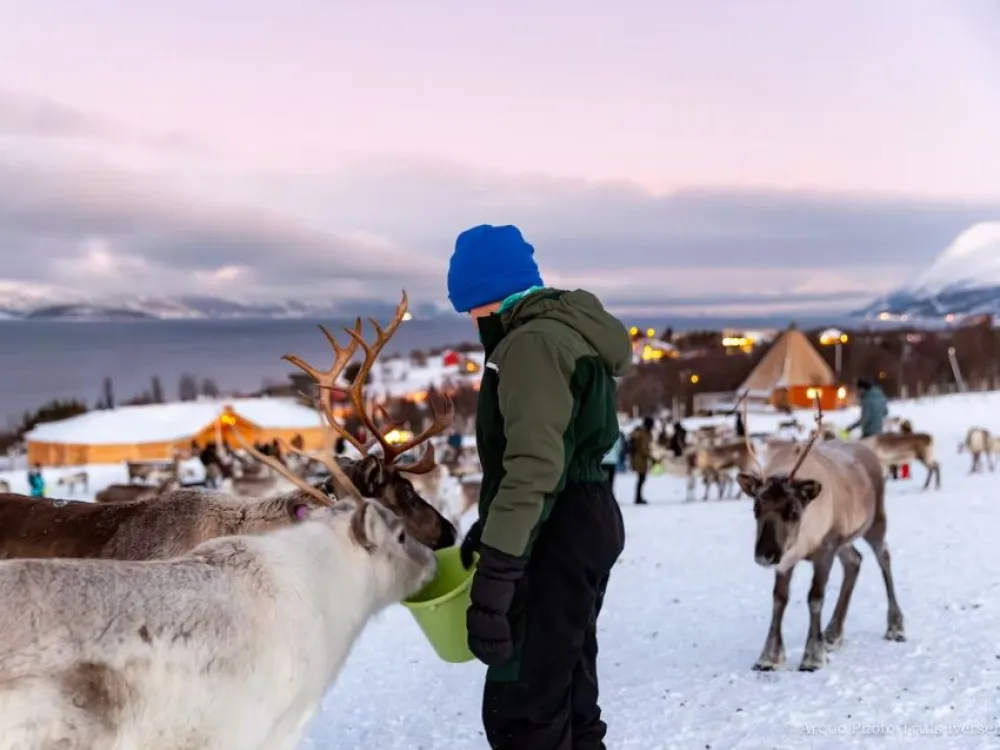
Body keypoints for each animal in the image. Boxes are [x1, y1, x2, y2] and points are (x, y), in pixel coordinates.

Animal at [736, 398, 905, 672]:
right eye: (756, 509)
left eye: (794, 511)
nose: (765, 555)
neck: (803, 543)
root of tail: (869, 452)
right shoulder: (787, 559)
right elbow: (779, 599)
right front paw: (769, 657)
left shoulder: (825, 550)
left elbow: (815, 597)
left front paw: (812, 656)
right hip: (844, 540)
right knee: (854, 561)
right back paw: (832, 634)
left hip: (875, 522)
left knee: (884, 558)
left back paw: (895, 626)